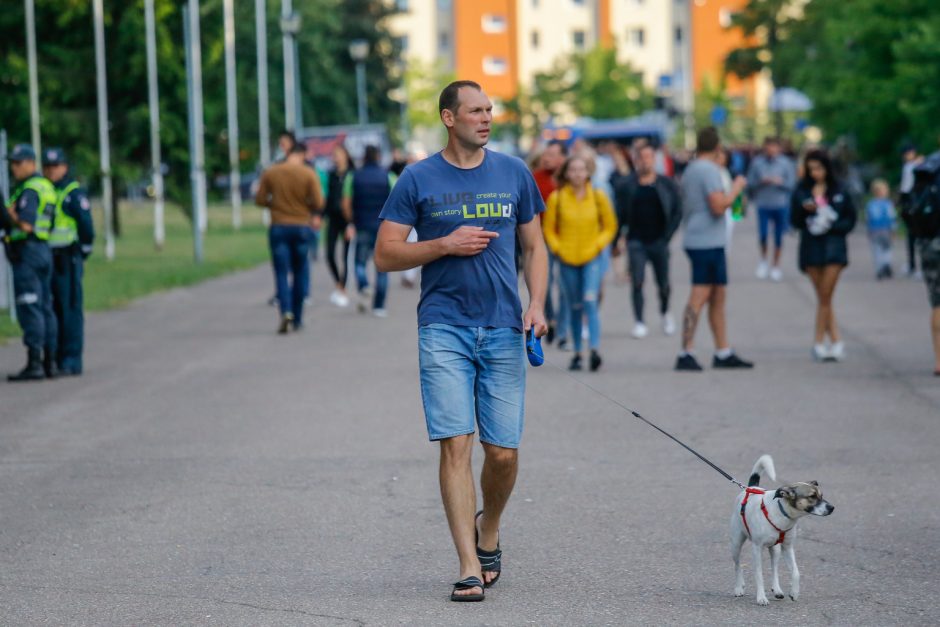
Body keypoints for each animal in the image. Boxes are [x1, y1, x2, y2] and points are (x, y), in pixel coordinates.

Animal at [732, 454, 832, 604]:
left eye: (821, 495)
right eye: (812, 496)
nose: (832, 508)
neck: (782, 512)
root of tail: (751, 487)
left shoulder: (787, 547)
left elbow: (796, 572)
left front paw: (794, 592)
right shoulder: (757, 548)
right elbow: (759, 574)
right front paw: (761, 597)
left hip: (775, 549)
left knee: (774, 568)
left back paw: (777, 590)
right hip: (736, 544)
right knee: (737, 565)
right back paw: (739, 587)